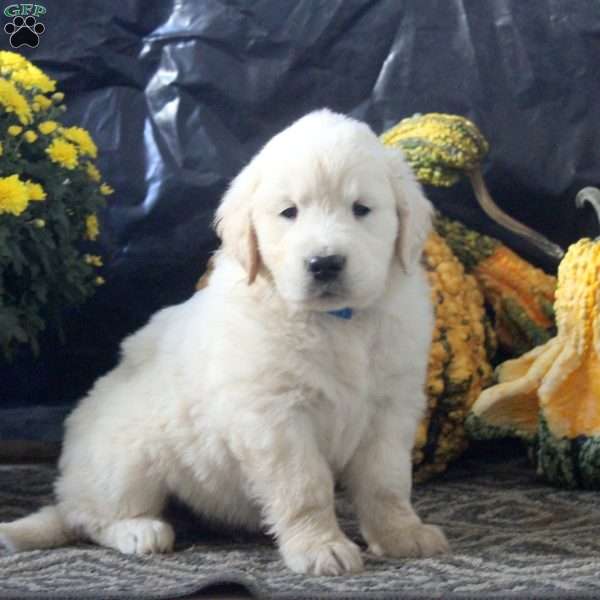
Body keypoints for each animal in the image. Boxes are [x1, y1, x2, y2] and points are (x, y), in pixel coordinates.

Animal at [0, 110, 448, 576]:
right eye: (289, 212)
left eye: (361, 209)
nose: (324, 263)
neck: (337, 322)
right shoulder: (277, 416)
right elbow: (304, 487)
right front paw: (320, 546)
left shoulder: (390, 407)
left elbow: (386, 482)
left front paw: (401, 534)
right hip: (127, 454)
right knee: (88, 515)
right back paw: (138, 530)